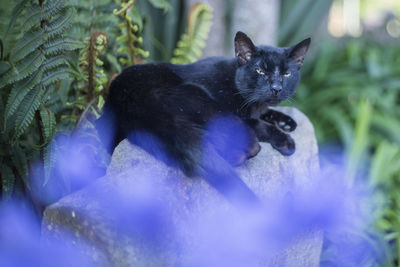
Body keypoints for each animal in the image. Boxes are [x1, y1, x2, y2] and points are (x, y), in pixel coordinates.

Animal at [96, 31, 310, 207]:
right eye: (261, 71)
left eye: (287, 74)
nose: (276, 88)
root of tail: (131, 101)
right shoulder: (237, 114)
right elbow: (259, 123)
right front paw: (285, 139)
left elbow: (265, 112)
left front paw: (286, 121)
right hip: (203, 102)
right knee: (247, 145)